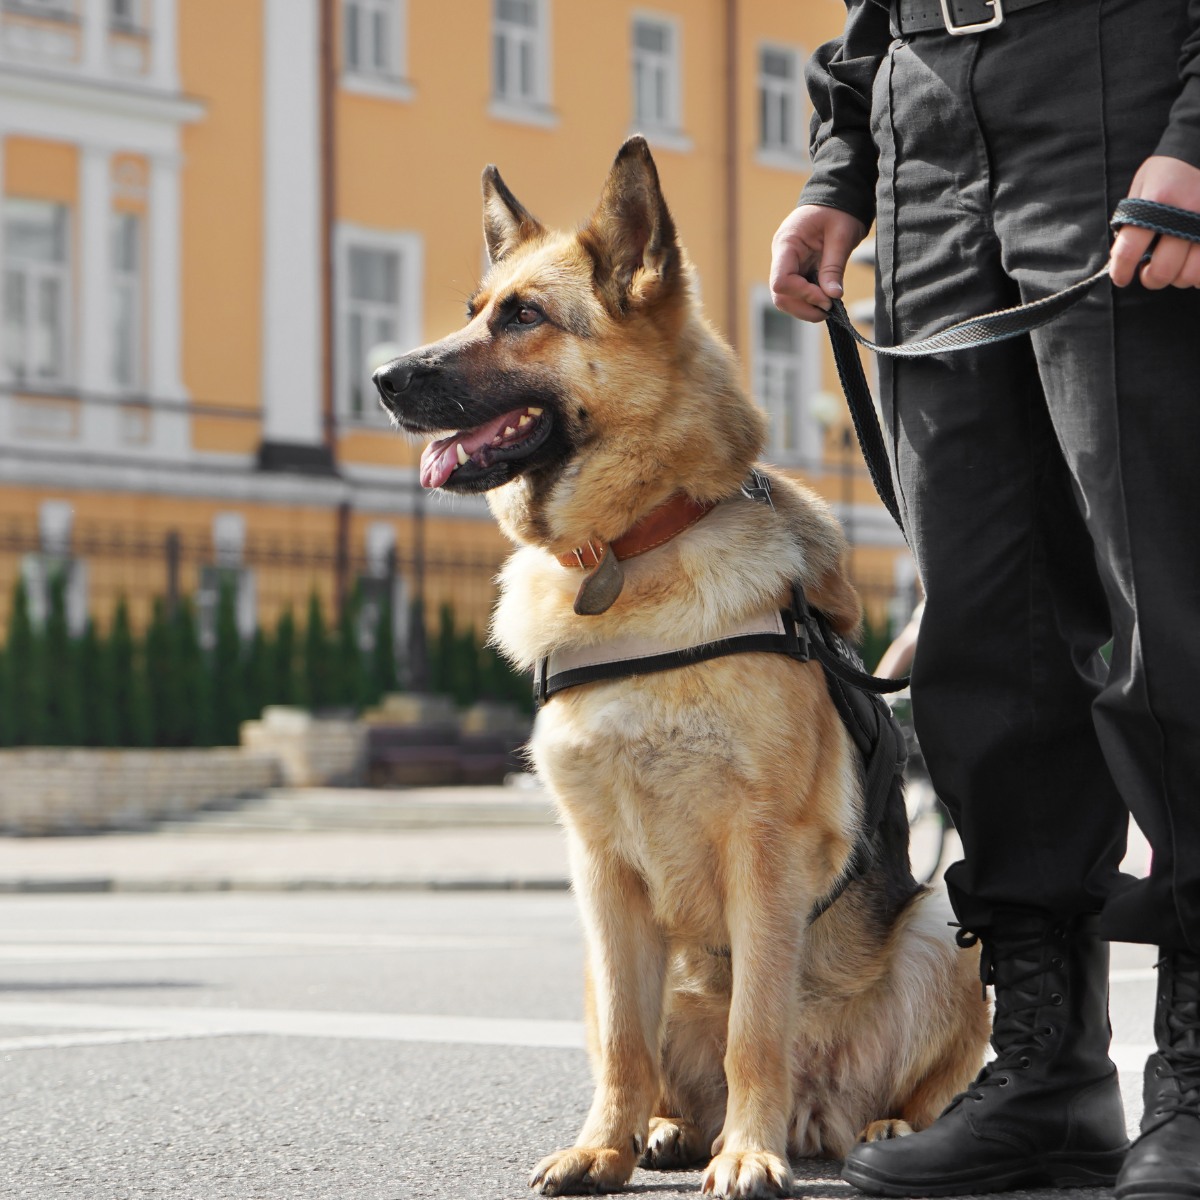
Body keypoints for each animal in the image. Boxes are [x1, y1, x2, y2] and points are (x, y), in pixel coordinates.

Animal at [374, 136, 984, 1195]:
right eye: (476, 309)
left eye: (524, 318)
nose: (381, 376)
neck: (631, 552)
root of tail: (824, 1115)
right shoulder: (600, 872)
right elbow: (626, 1040)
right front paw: (602, 1147)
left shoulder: (762, 852)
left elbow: (756, 1028)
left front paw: (748, 1153)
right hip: (588, 958)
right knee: (655, 1056)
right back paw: (666, 1129)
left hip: (948, 918)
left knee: (908, 1082)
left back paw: (884, 1132)